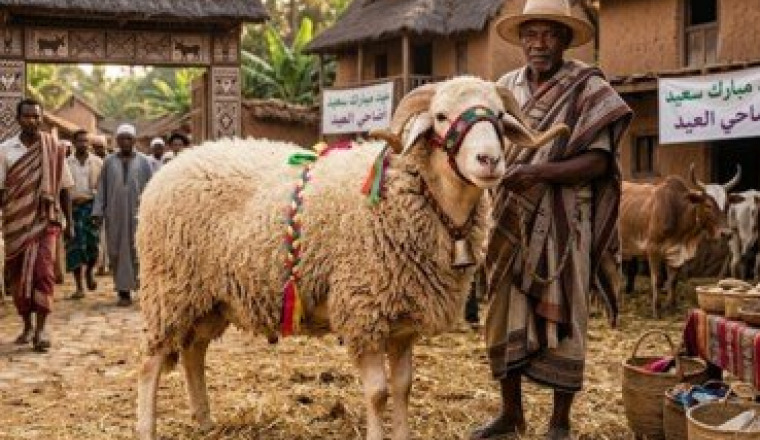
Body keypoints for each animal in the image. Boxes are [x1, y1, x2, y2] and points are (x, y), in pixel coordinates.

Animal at [135, 76, 568, 440]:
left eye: (498, 117)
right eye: (442, 117)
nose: (489, 161)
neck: (419, 195)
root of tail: (179, 161)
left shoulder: (403, 319)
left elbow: (403, 387)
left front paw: (403, 435)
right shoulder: (365, 310)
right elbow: (377, 393)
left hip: (209, 298)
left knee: (194, 352)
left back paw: (205, 420)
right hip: (169, 289)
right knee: (151, 364)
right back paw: (147, 428)